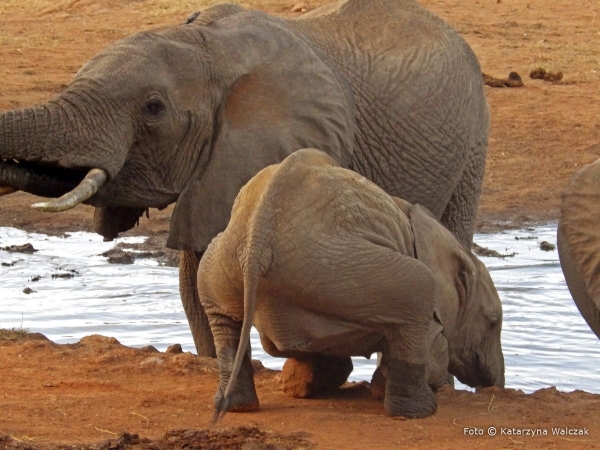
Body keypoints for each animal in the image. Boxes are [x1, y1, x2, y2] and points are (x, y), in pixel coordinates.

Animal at [199, 149, 504, 420]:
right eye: (492, 323)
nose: (492, 387)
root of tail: (257, 239)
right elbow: (434, 348)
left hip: (232, 263)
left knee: (223, 319)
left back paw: (238, 406)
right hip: (334, 266)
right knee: (418, 284)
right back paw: (419, 412)